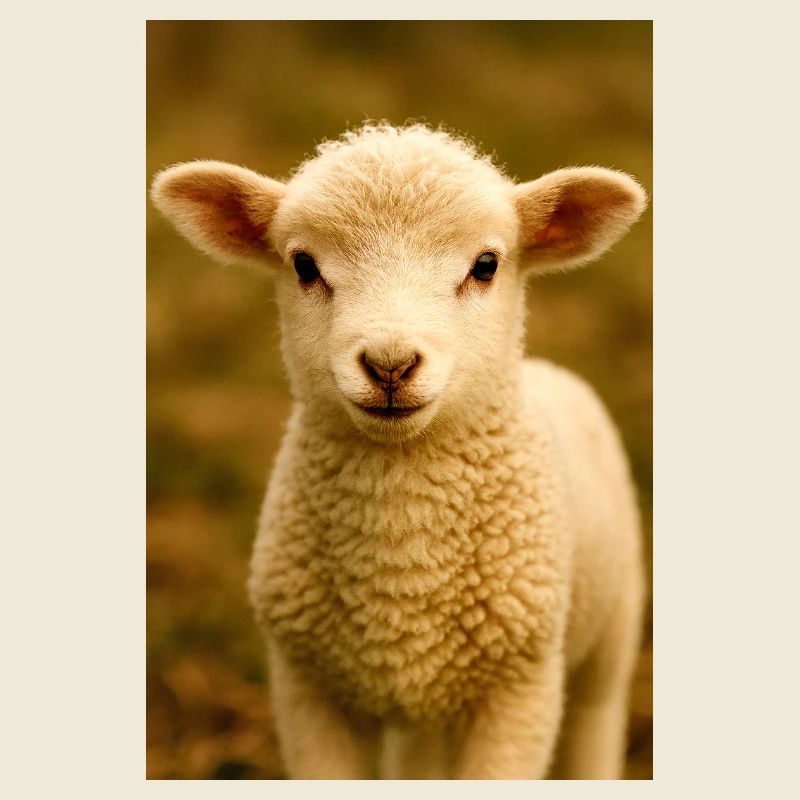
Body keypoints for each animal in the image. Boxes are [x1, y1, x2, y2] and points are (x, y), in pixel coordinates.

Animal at [150, 123, 648, 780]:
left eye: (486, 265)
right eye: (304, 264)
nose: (390, 364)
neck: (402, 555)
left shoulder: (520, 687)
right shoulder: (305, 685)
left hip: (610, 634)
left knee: (596, 721)